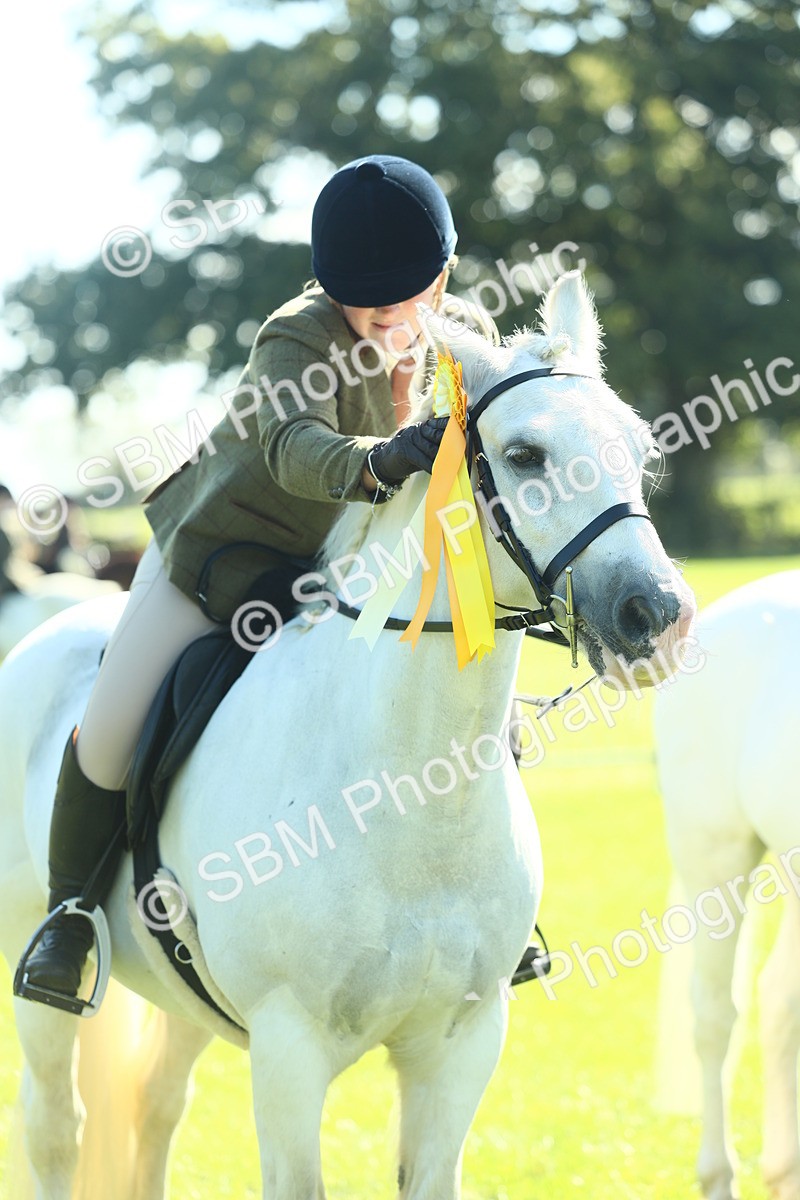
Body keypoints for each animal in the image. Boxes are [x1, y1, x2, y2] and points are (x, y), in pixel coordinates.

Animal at [0, 271, 695, 1200]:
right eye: (524, 456)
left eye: (636, 448)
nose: (656, 616)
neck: (412, 799)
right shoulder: (289, 1050)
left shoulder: (459, 1049)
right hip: (42, 975)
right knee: (55, 1127)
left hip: (185, 1001)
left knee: (155, 1111)